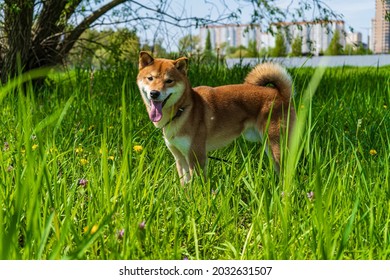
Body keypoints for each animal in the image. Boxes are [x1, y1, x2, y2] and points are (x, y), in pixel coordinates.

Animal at [137, 51, 296, 185]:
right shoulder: (180, 158)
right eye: (150, 78)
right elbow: (185, 185)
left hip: (277, 148)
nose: (154, 93)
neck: (183, 109)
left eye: (169, 81)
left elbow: (198, 185)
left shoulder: (196, 156)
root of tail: (282, 95)